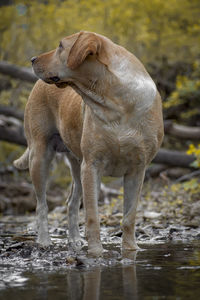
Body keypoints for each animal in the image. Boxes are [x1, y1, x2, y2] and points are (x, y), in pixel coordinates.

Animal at [14, 29, 164, 255]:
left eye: (60, 46)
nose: (32, 59)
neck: (117, 103)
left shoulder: (137, 170)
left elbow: (129, 216)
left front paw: (130, 249)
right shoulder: (92, 166)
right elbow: (92, 215)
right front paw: (95, 252)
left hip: (77, 166)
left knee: (71, 203)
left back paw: (75, 240)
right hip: (40, 156)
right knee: (42, 205)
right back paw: (44, 240)